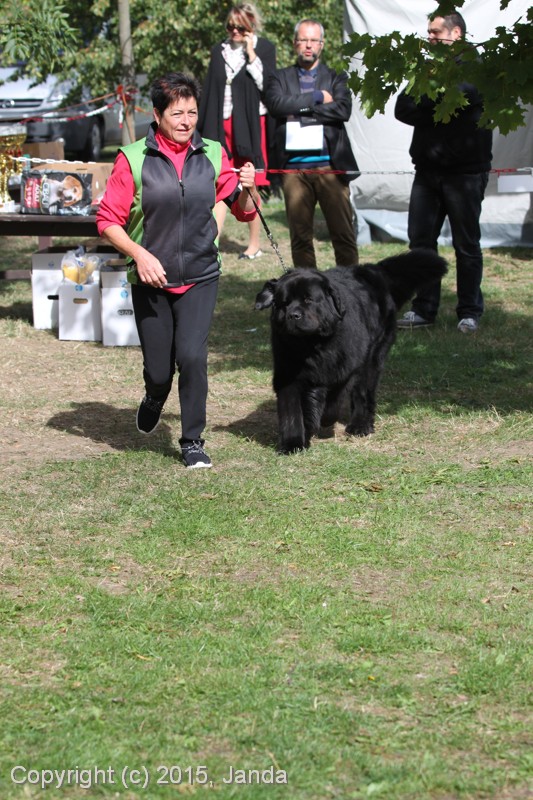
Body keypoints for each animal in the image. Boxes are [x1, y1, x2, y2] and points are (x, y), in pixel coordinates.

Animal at [255, 249, 447, 454]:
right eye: (284, 303)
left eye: (308, 300)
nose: (293, 315)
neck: (314, 344)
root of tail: (371, 271)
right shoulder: (287, 374)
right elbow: (292, 412)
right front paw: (293, 443)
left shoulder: (346, 370)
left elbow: (333, 402)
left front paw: (323, 419)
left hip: (372, 357)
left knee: (364, 393)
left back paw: (360, 425)